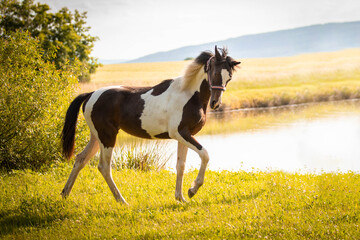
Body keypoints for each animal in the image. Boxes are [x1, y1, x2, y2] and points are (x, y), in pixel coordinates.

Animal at [61, 46, 242, 203]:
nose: (215, 104)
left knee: (80, 159)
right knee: (104, 167)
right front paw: (193, 190)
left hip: (96, 137)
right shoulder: (180, 133)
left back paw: (65, 194)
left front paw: (181, 198)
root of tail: (90, 94)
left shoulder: (185, 136)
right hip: (107, 137)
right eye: (215, 72)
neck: (189, 95)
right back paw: (122, 201)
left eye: (229, 77)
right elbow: (205, 154)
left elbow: (180, 165)